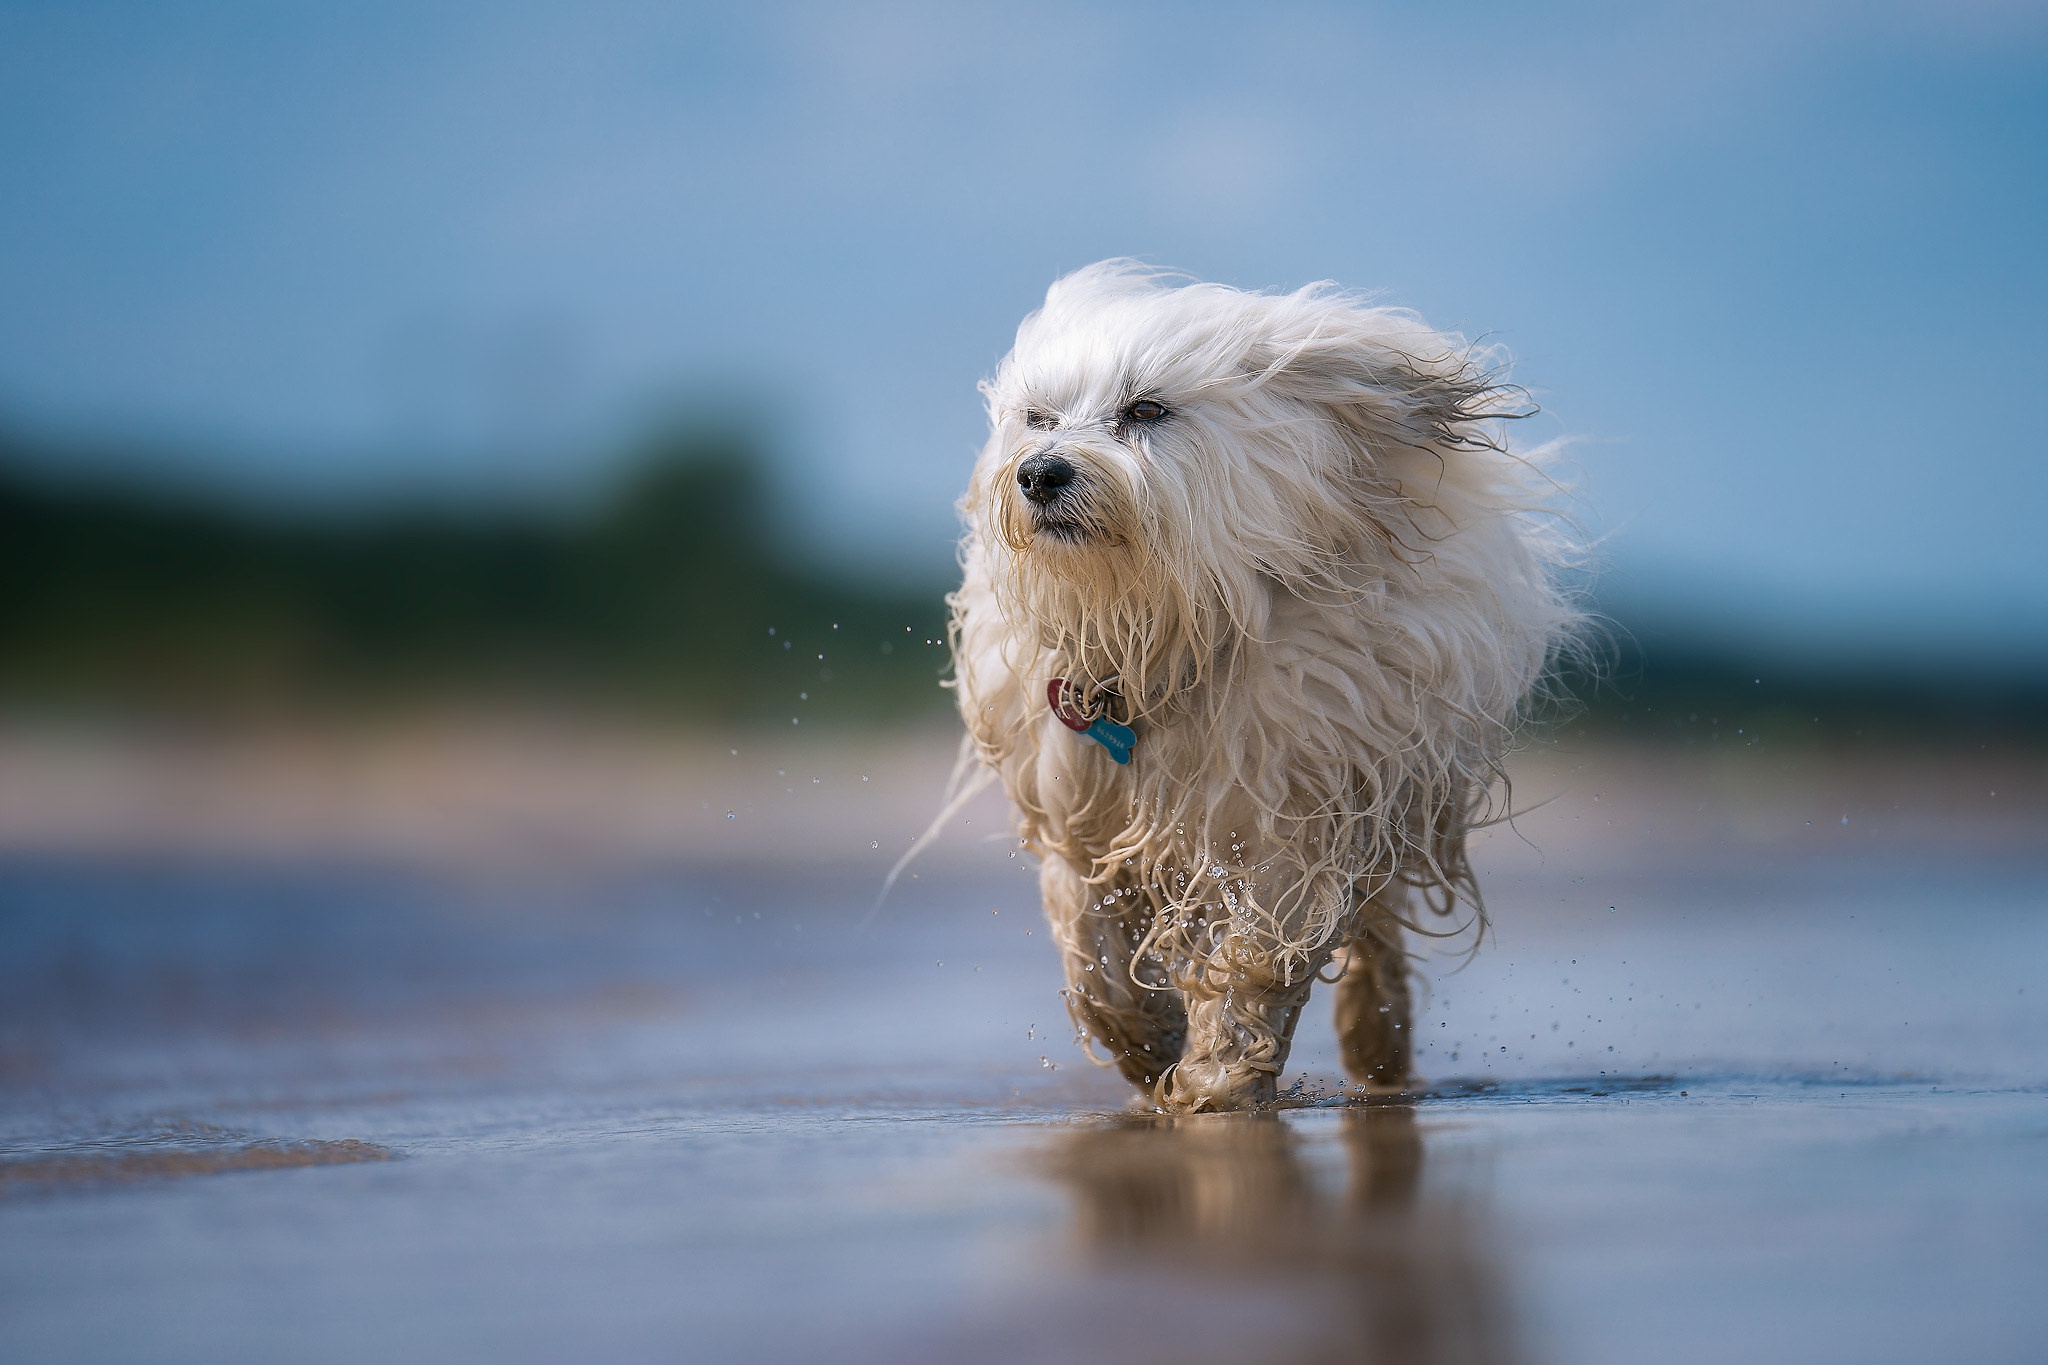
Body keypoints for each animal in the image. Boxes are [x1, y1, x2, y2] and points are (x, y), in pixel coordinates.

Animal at [950, 263, 1572, 1113]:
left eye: (1147, 409)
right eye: (1036, 417)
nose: (1040, 471)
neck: (1173, 629)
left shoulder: (1305, 795)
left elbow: (1262, 947)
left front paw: (1217, 1074)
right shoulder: (1076, 796)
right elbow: (1087, 937)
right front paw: (1145, 1038)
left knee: (1377, 924)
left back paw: (1377, 1042)